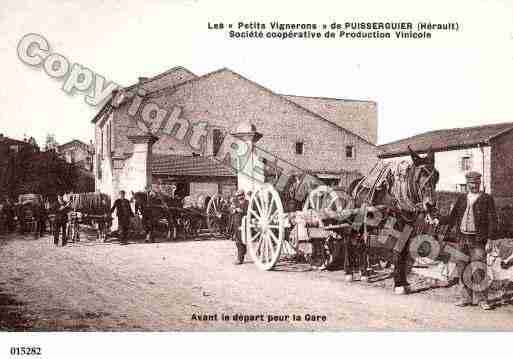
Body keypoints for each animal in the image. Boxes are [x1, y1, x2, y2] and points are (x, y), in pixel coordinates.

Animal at [342, 148, 438, 294]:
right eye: (418, 176)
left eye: (436, 175)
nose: (430, 204)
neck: (399, 197)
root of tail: (353, 185)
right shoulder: (396, 226)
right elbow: (398, 251)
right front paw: (398, 284)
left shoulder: (408, 226)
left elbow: (404, 251)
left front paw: (405, 283)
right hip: (354, 224)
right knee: (349, 241)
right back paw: (348, 272)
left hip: (368, 224)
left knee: (362, 244)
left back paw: (364, 273)